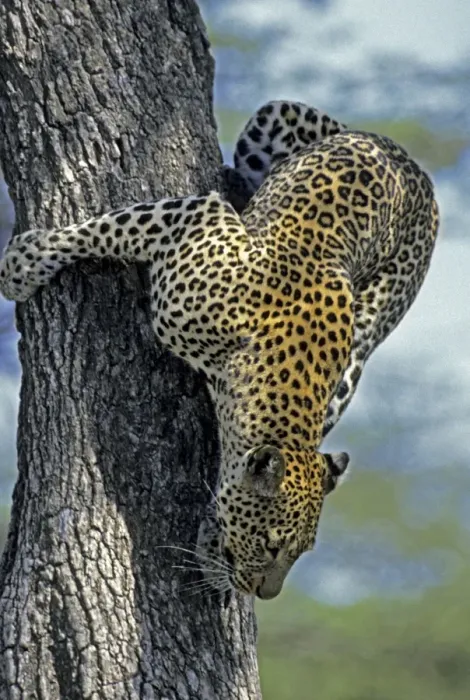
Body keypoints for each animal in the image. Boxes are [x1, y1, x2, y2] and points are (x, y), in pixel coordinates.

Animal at [0, 100, 439, 599]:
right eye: (270, 545)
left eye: (301, 552)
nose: (266, 593)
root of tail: (419, 173)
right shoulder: (197, 214)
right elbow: (106, 228)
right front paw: (24, 263)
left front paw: (212, 546)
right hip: (275, 116)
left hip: (368, 333)